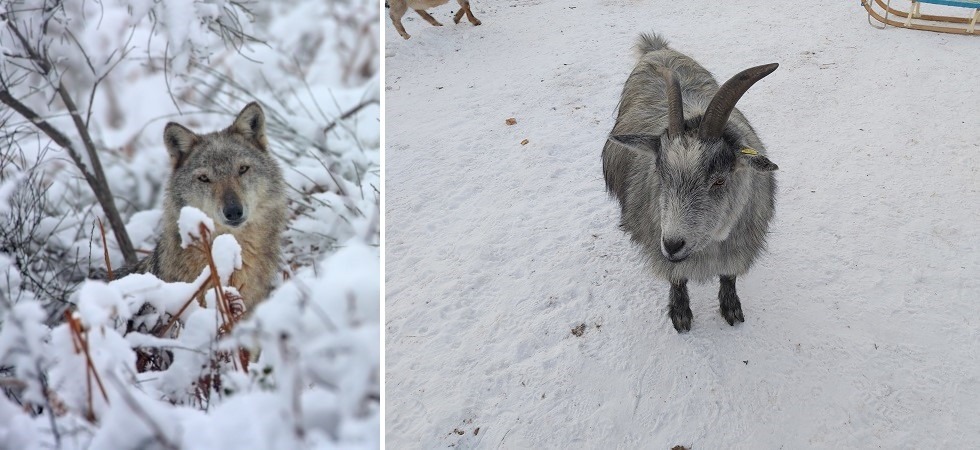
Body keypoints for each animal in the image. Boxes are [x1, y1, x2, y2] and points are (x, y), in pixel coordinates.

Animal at [602, 32, 779, 332]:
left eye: (719, 181)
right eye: (661, 174)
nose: (673, 244)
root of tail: (656, 50)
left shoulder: (737, 249)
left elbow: (729, 277)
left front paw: (731, 308)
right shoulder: (661, 250)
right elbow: (677, 278)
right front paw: (681, 314)